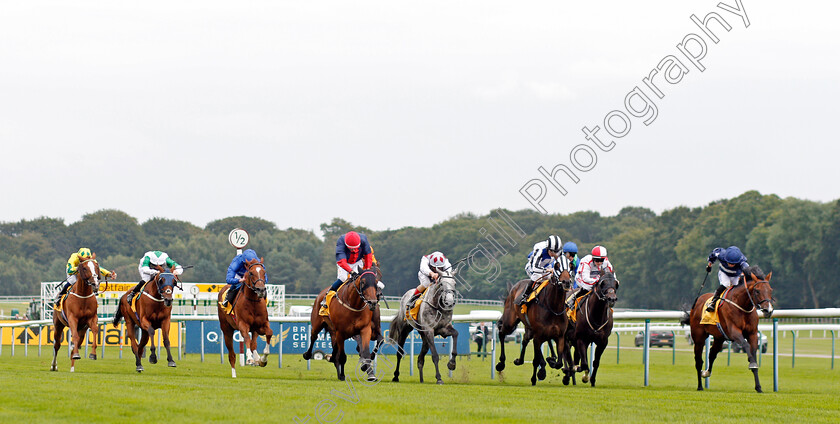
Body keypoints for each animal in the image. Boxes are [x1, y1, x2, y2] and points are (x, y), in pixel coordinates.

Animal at [496, 256, 576, 386]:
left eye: (571, 266)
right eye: (557, 266)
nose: (566, 282)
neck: (553, 308)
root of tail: (513, 287)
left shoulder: (560, 336)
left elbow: (558, 362)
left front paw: (551, 361)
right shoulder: (539, 336)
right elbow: (536, 359)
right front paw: (537, 376)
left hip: (529, 328)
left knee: (525, 339)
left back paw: (519, 360)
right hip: (510, 322)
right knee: (502, 333)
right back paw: (501, 363)